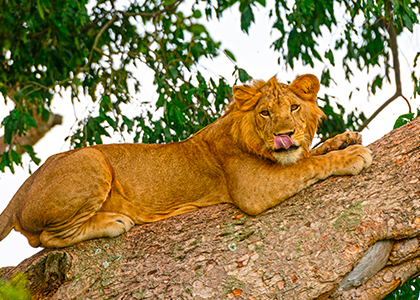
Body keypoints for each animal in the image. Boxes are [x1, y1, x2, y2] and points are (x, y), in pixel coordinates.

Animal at [0, 74, 370, 247]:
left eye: (294, 108)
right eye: (265, 113)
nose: (286, 134)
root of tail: (20, 192)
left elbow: (310, 153)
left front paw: (343, 139)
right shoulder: (253, 190)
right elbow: (309, 164)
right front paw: (352, 155)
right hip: (91, 159)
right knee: (46, 239)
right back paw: (113, 221)